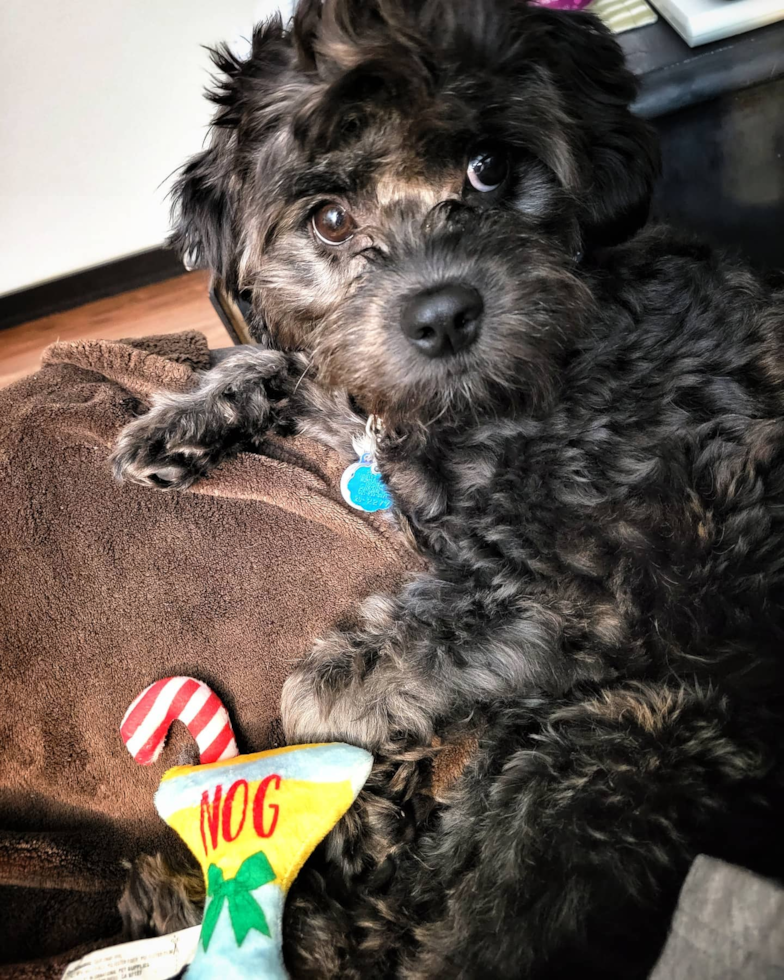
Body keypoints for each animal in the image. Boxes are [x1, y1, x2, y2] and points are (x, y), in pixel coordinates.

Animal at [113, 0, 784, 976]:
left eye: (490, 167)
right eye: (328, 217)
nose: (442, 316)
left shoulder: (585, 595)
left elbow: (375, 660)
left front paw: (320, 712)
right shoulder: (365, 385)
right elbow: (287, 359)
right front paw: (177, 420)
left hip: (610, 746)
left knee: (456, 932)